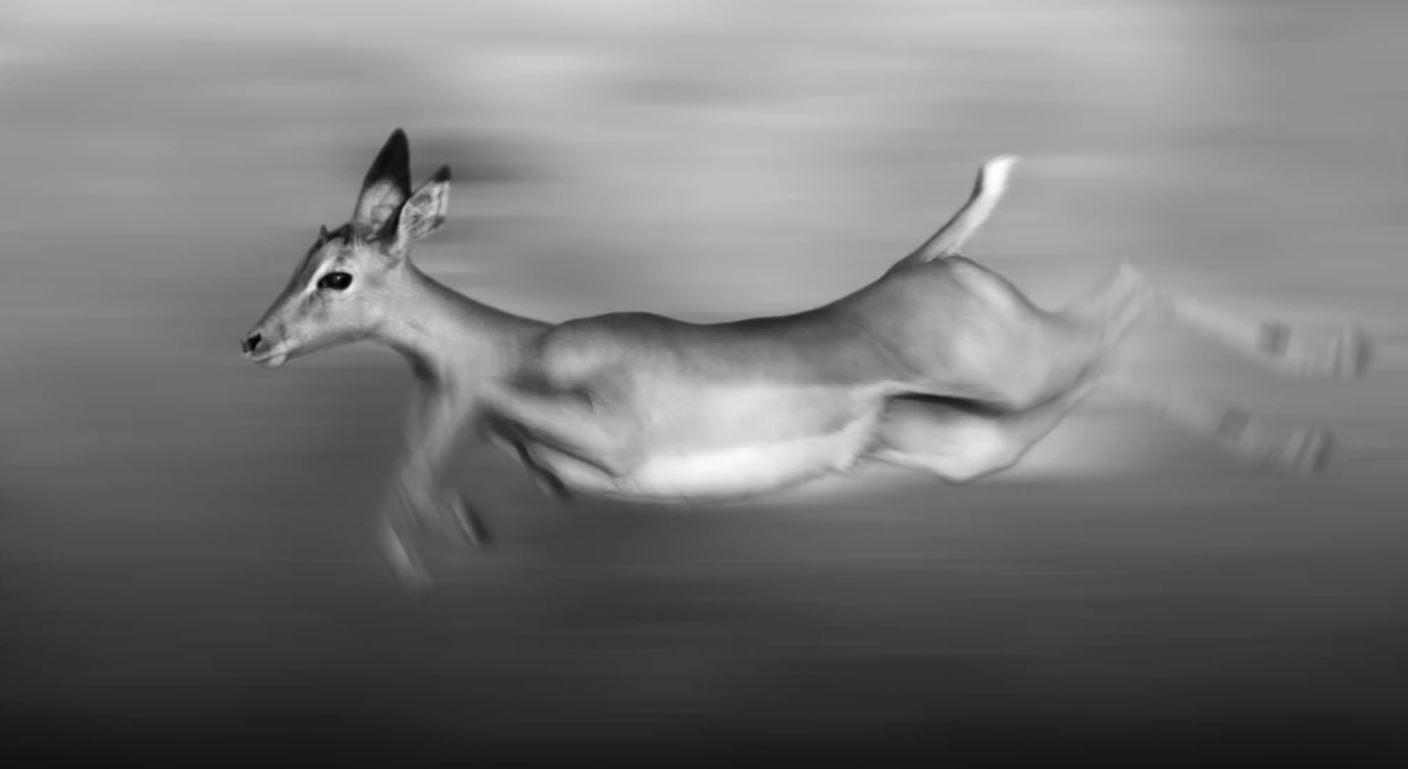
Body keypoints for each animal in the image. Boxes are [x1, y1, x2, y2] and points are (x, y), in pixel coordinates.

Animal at [241, 128, 1370, 589]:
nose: (255, 340)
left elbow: (458, 419)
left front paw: (429, 541)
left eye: (337, 274)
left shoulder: (606, 437)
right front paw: (460, 530)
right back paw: (1305, 417)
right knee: (1110, 348)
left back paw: (1330, 365)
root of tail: (928, 259)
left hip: (1010, 375)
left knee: (1130, 292)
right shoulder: (555, 464)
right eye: (305, 257)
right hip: (977, 436)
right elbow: (449, 441)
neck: (533, 342)